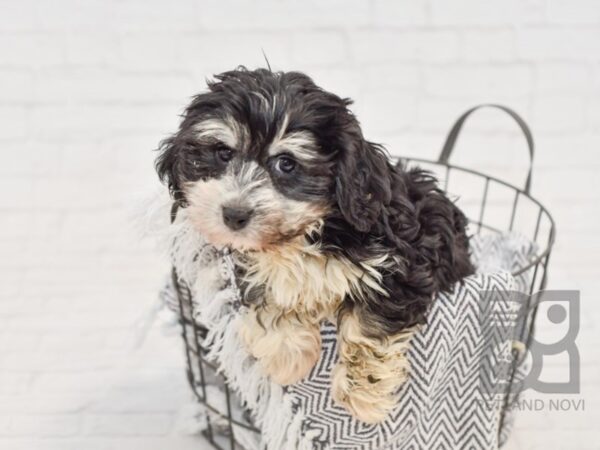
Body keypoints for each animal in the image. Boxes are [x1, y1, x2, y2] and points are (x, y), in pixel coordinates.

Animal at [157, 67, 476, 422]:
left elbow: (369, 327)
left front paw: (362, 392)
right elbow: (269, 294)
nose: (234, 215)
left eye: (286, 163)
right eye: (223, 153)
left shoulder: (402, 266)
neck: (305, 234)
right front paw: (287, 357)